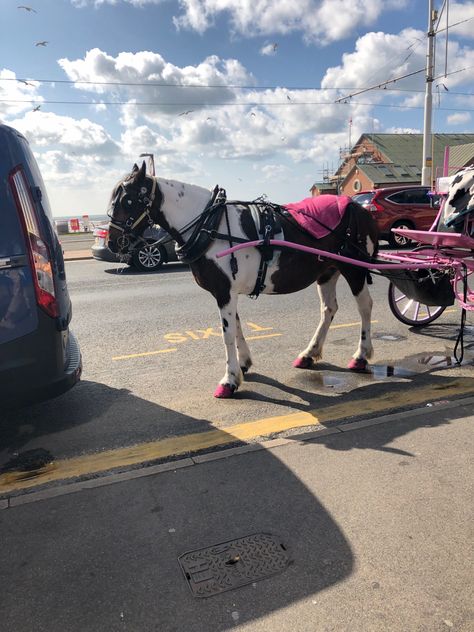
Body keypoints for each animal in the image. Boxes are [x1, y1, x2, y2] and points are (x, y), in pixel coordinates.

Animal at [106, 163, 378, 400]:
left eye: (128, 200)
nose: (112, 242)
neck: (209, 225)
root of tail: (358, 208)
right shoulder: (226, 292)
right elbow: (236, 327)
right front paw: (243, 364)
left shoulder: (225, 291)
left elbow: (227, 334)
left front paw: (229, 381)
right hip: (328, 271)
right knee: (329, 309)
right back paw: (309, 354)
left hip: (353, 268)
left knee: (365, 306)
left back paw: (361, 356)